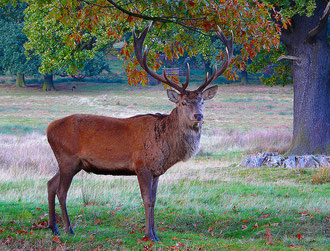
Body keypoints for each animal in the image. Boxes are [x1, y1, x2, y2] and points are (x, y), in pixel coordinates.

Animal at [46, 23, 233, 241]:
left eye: (202, 101)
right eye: (183, 102)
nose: (198, 116)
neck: (165, 147)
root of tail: (49, 128)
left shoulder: (156, 171)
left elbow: (154, 200)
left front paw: (155, 234)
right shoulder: (141, 166)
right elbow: (147, 200)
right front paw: (148, 235)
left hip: (70, 163)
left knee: (50, 184)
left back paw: (54, 227)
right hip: (68, 159)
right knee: (61, 191)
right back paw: (69, 229)